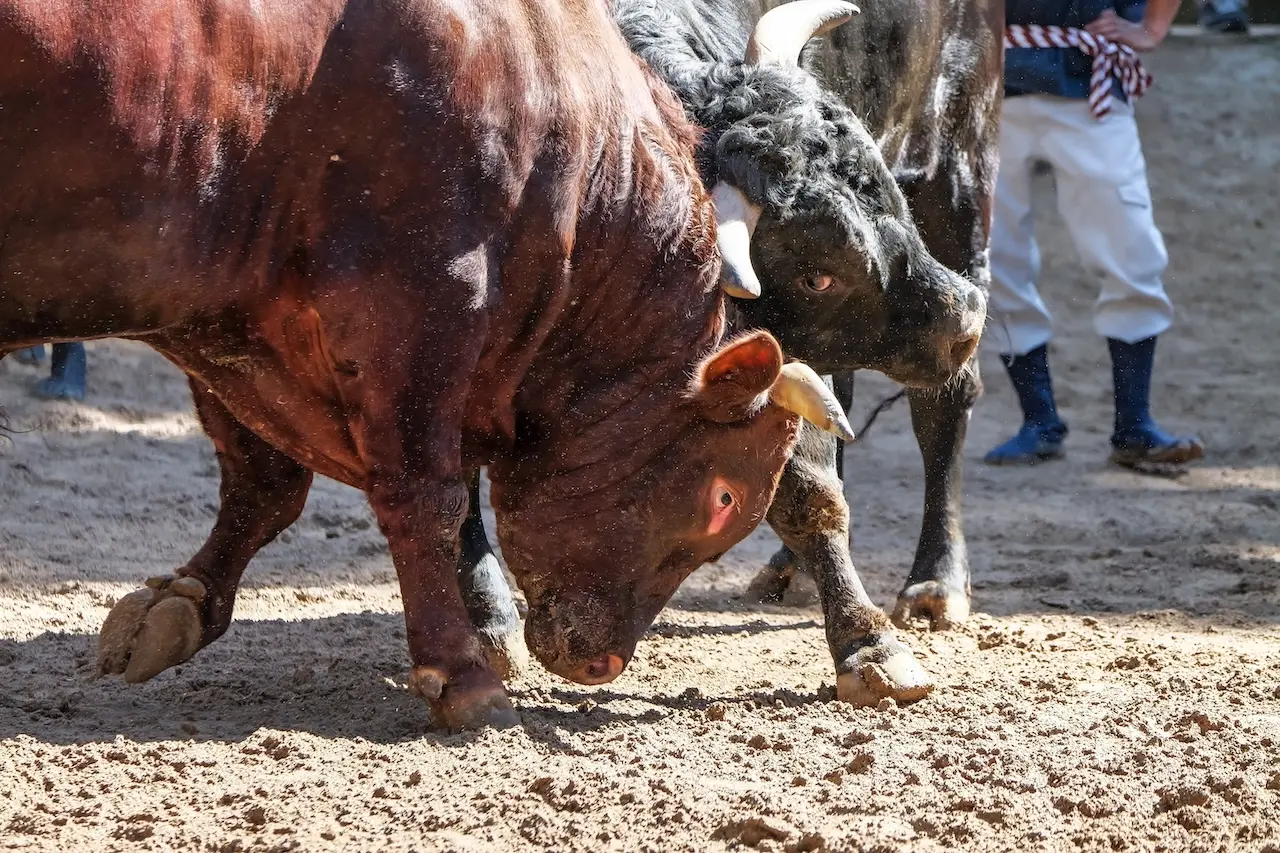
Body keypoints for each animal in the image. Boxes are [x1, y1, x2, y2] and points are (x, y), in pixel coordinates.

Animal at [0, 0, 872, 730]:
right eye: (723, 498)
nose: (603, 660)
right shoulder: (419, 307)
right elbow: (426, 497)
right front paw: (461, 674)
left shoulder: (227, 321)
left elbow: (264, 487)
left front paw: (179, 602)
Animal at [455, 0, 1003, 706]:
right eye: (816, 275)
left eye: (886, 189)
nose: (964, 319)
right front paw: (485, 621)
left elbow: (807, 489)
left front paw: (869, 645)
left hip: (961, 165)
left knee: (940, 409)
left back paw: (937, 584)